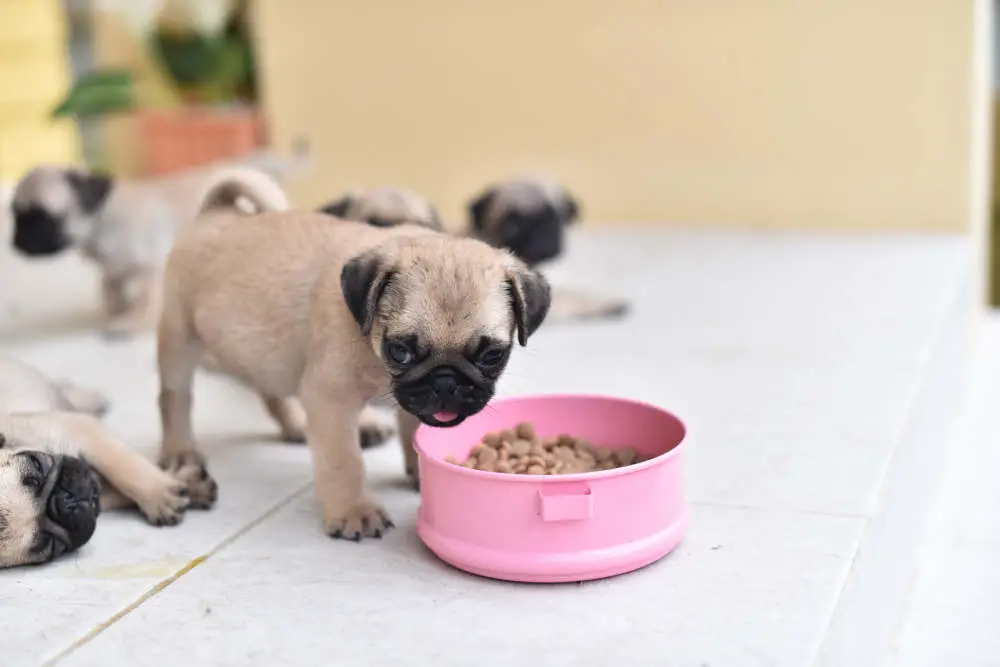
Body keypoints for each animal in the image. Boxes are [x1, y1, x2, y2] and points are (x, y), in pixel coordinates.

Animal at [0, 358, 203, 572]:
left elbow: (120, 463)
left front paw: (163, 490)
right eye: (49, 544)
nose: (68, 500)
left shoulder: (75, 429)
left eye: (37, 464)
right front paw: (180, 489)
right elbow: (115, 490)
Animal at [7, 148, 310, 342]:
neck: (103, 221)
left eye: (42, 218)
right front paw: (116, 313)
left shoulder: (150, 271)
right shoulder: (113, 274)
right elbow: (111, 294)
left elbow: (144, 301)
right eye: (15, 215)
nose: (16, 242)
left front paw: (130, 323)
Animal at [156, 170, 552, 540]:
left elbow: (412, 430)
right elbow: (344, 462)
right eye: (400, 351)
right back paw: (180, 452)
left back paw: (295, 424)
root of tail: (217, 211)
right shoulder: (330, 401)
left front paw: (420, 474)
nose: (445, 382)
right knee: (175, 398)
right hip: (180, 337)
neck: (373, 350)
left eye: (492, 355)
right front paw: (354, 511)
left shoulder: (412, 400)